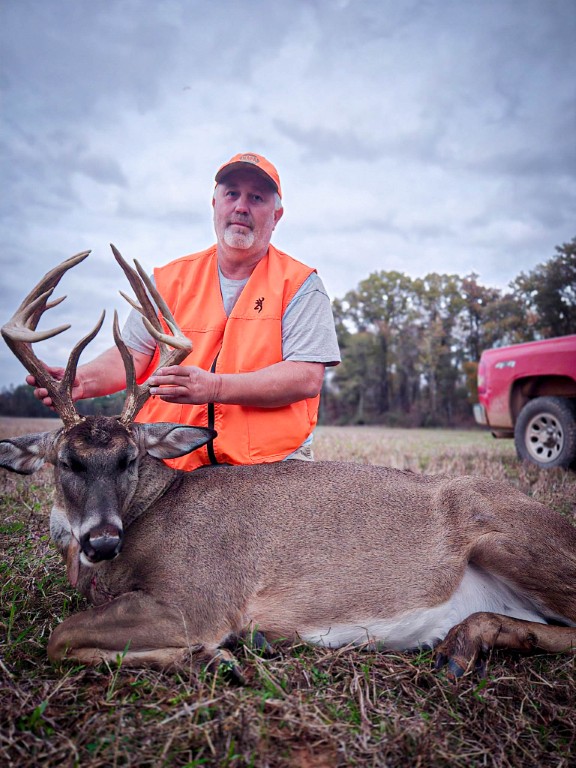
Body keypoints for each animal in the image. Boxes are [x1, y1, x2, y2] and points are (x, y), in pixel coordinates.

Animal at [1, 247, 575, 682]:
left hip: (509, 540)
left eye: (129, 459)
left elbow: (59, 637)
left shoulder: (198, 597)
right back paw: (461, 645)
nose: (102, 540)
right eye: (65, 461)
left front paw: (213, 658)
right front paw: (216, 658)